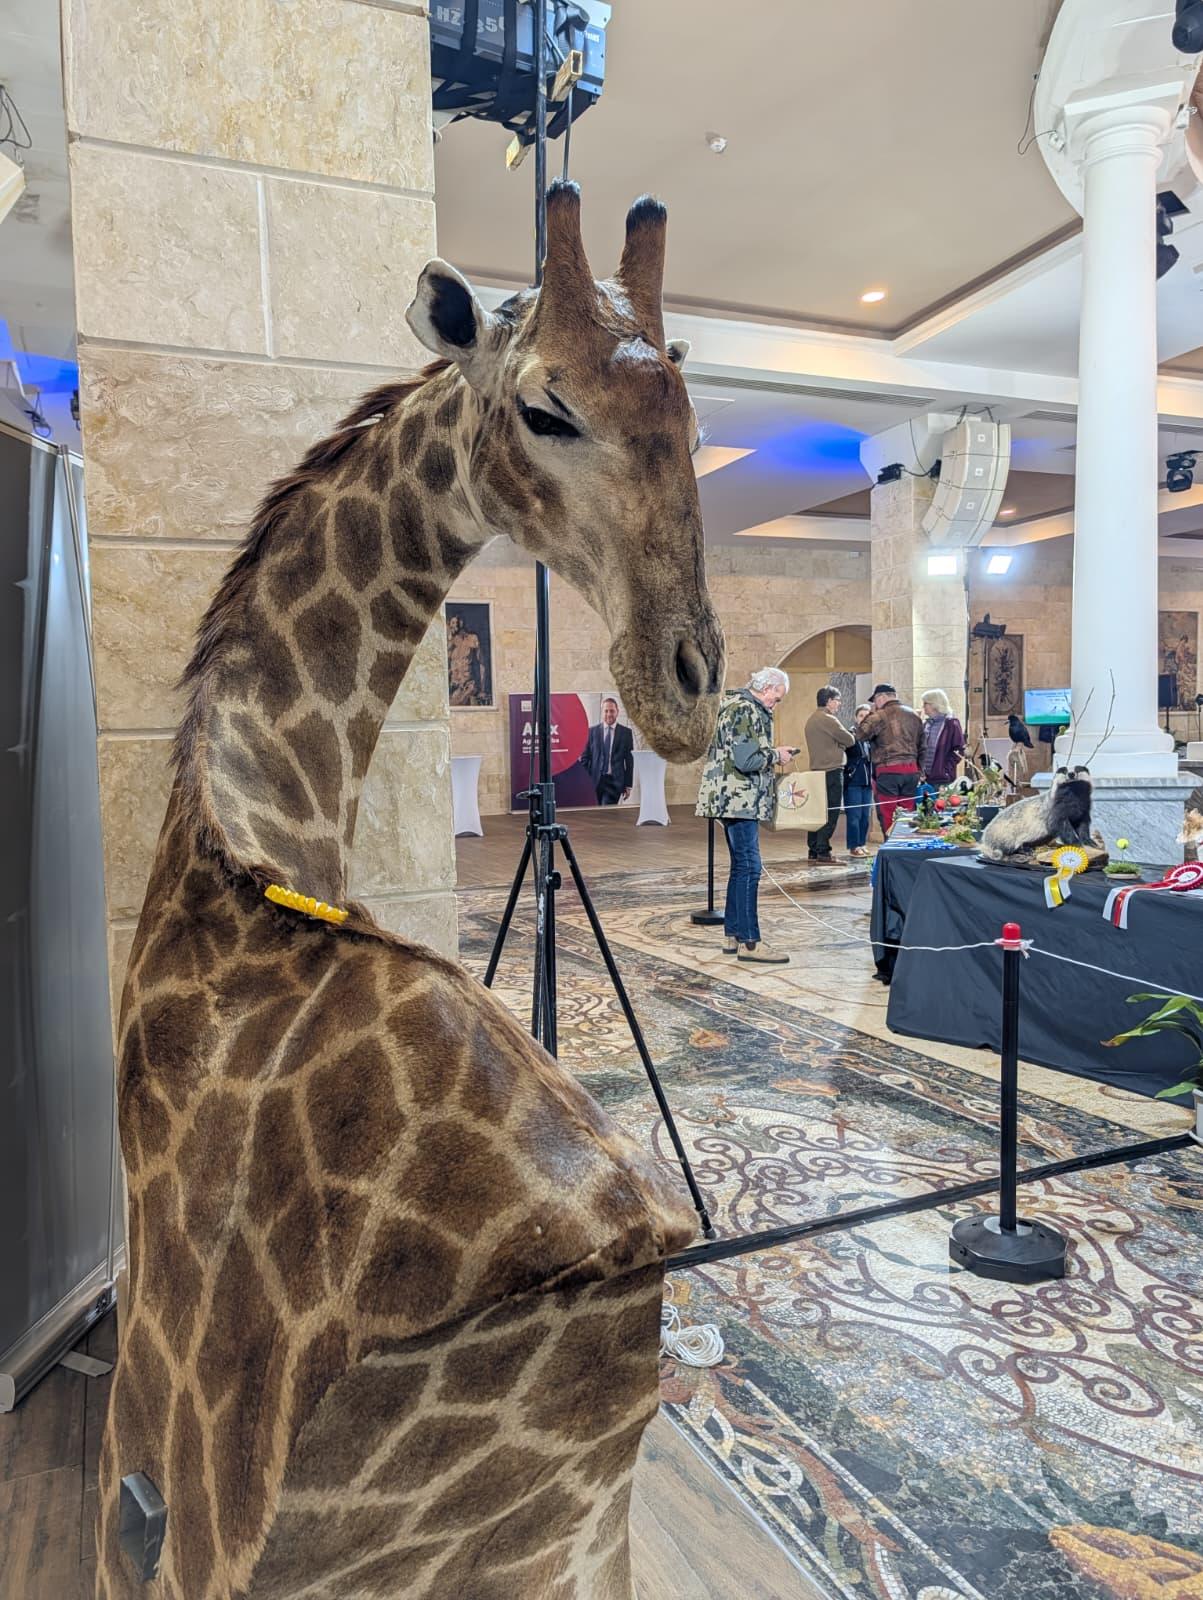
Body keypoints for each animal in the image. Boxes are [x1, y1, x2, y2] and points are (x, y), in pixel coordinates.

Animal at [96, 180, 725, 1600]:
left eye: (693, 412)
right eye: (546, 408)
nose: (686, 688)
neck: (248, 824)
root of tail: (619, 1254)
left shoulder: (158, 1450)